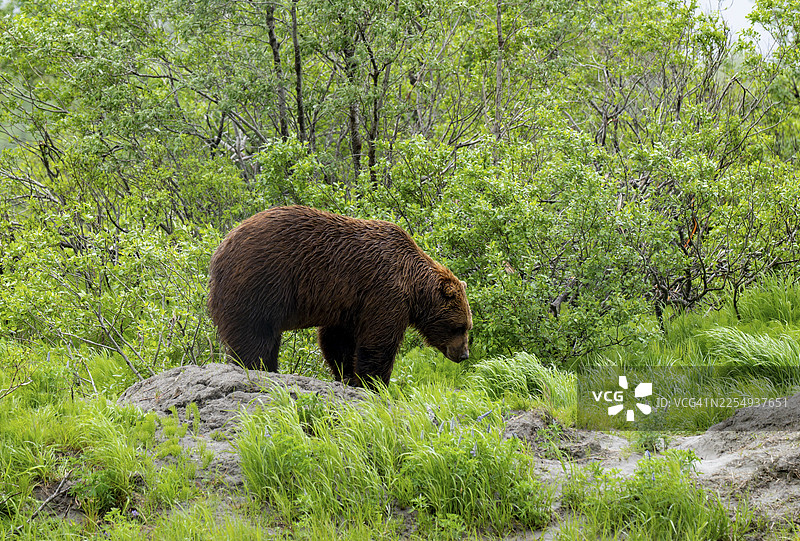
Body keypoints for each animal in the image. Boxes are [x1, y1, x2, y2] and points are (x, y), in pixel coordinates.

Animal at [207, 205, 472, 387]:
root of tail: (220, 249)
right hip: (259, 284)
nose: (464, 354)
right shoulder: (384, 293)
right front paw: (374, 383)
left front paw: (347, 375)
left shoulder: (350, 302)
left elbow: (337, 340)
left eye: (467, 326)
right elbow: (378, 341)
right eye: (460, 327)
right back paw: (256, 367)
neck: (413, 284)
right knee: (254, 336)